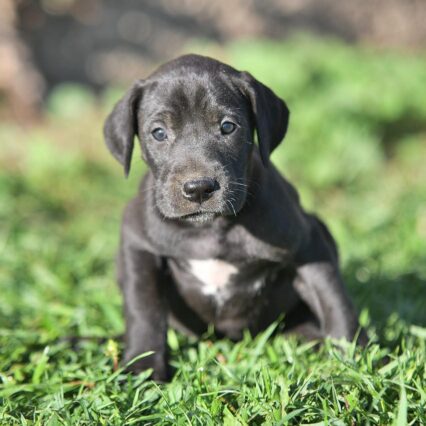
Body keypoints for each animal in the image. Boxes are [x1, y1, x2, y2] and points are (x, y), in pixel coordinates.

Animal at [103, 53, 366, 380]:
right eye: (159, 133)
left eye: (228, 127)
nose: (199, 188)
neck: (211, 228)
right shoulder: (138, 243)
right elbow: (144, 307)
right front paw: (143, 367)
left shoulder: (309, 244)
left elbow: (334, 299)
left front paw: (354, 359)